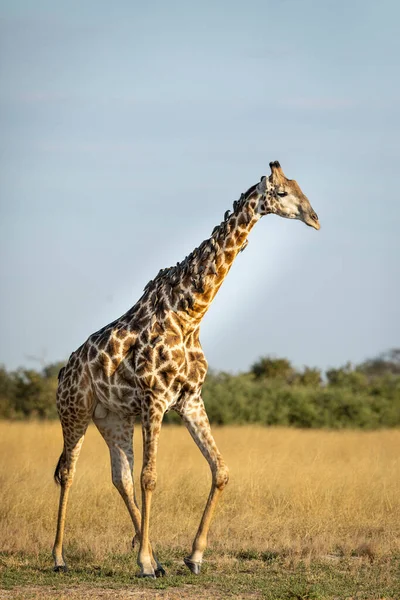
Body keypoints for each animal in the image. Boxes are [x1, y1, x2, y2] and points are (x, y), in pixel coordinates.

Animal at [52, 159, 318, 576]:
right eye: (281, 192)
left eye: (300, 188)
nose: (314, 218)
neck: (190, 315)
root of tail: (64, 371)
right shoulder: (155, 400)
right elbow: (151, 478)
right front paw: (145, 562)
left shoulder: (189, 399)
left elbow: (220, 470)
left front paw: (192, 556)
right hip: (74, 411)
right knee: (69, 472)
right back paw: (61, 557)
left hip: (112, 418)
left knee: (120, 477)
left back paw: (153, 554)